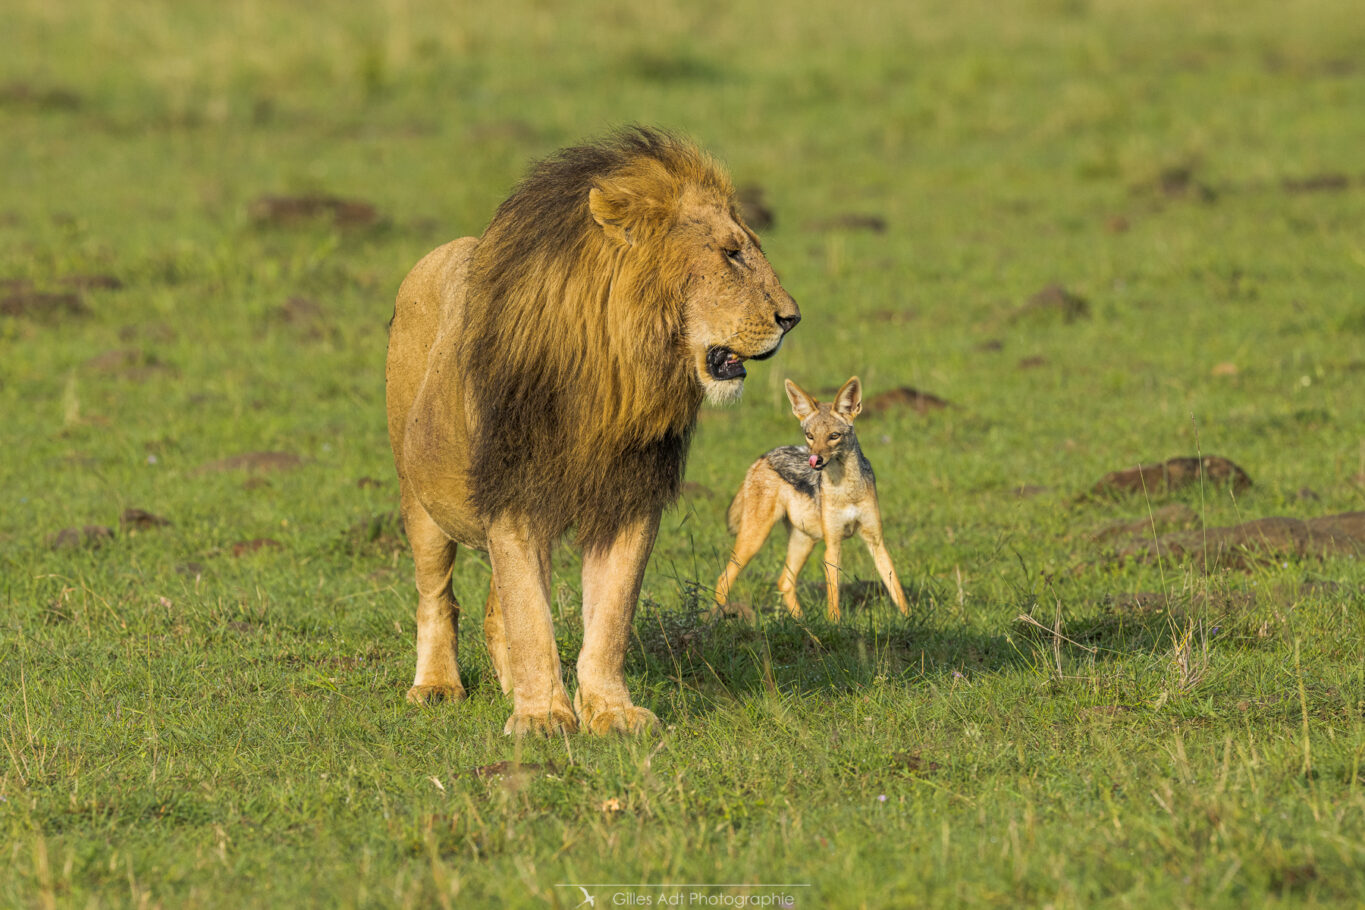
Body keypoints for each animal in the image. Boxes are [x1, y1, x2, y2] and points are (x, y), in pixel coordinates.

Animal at [384, 128, 797, 736]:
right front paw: (541, 717)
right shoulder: (515, 490)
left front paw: (609, 710)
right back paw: (436, 685)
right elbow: (530, 612)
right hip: (419, 495)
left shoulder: (629, 497)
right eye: (730, 253)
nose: (792, 318)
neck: (614, 373)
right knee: (436, 594)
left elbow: (610, 615)